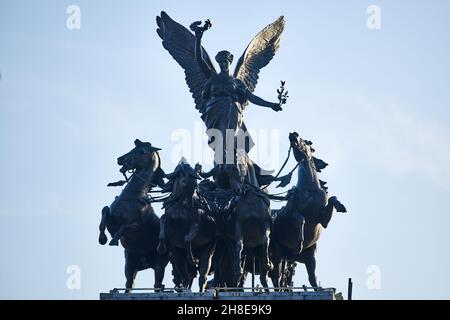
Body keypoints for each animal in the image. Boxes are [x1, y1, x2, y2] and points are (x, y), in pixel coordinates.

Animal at [98, 139, 169, 292]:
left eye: (141, 151)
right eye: (132, 149)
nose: (120, 159)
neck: (134, 194)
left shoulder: (135, 226)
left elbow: (125, 227)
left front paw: (114, 240)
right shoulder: (111, 220)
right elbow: (105, 211)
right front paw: (102, 238)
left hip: (159, 264)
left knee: (157, 285)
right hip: (130, 265)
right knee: (129, 284)